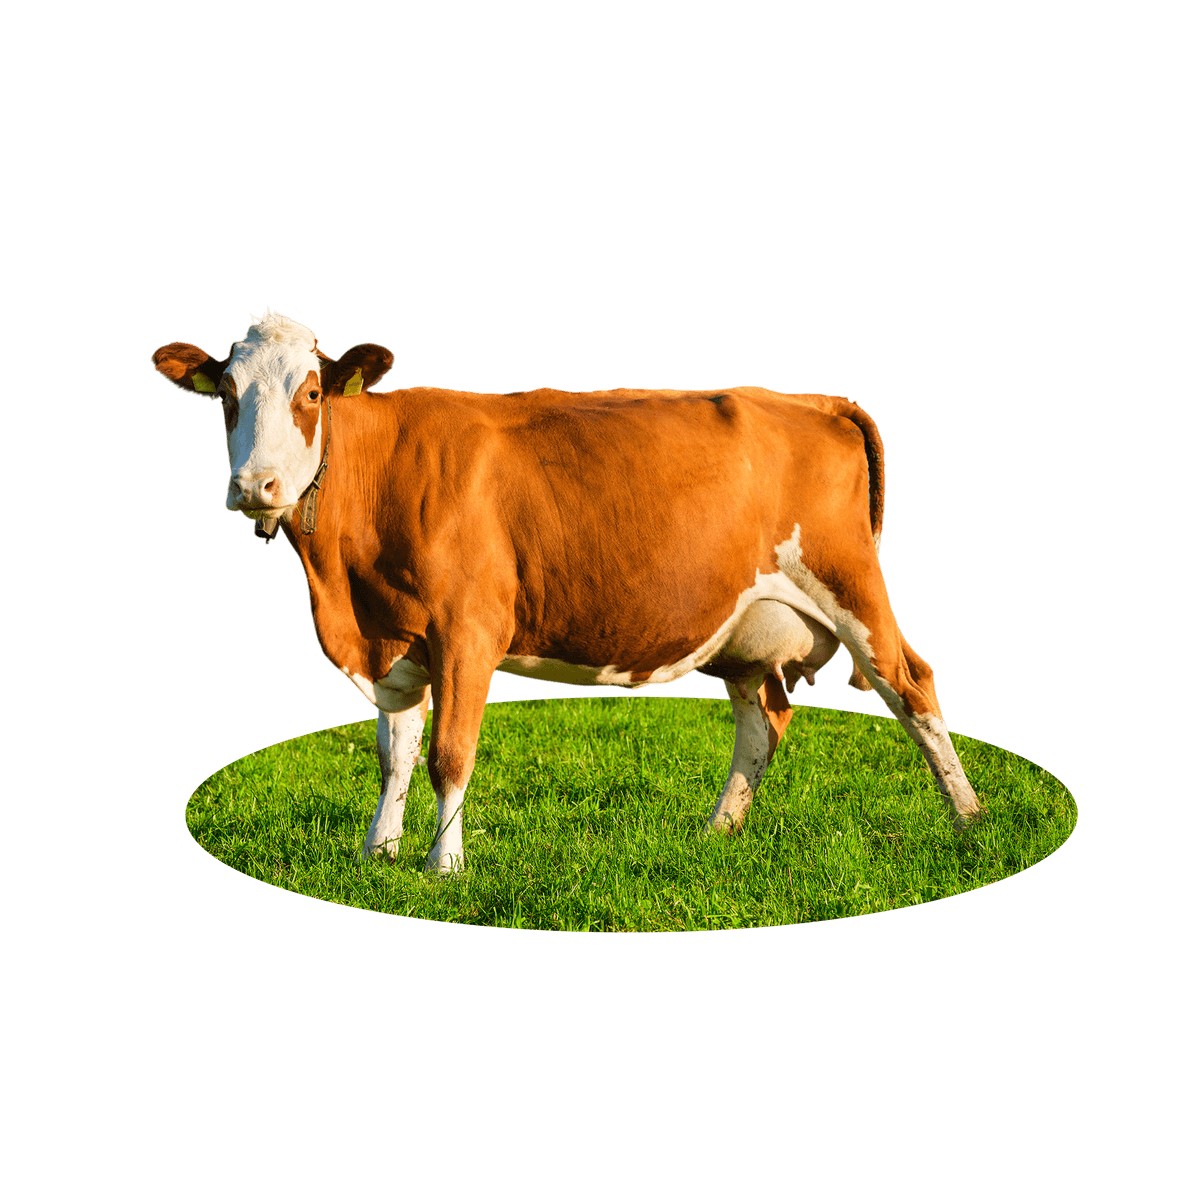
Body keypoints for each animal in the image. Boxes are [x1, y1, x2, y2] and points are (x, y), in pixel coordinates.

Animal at [153, 311, 981, 872]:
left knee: (912, 684)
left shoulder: (467, 628)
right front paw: (377, 853)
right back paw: (716, 830)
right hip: (746, 625)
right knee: (764, 720)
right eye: (225, 394)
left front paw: (443, 866)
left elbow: (448, 753)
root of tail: (805, 398)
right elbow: (393, 750)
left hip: (851, 584)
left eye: (314, 392)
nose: (255, 486)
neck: (347, 596)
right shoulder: (398, 636)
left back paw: (970, 822)